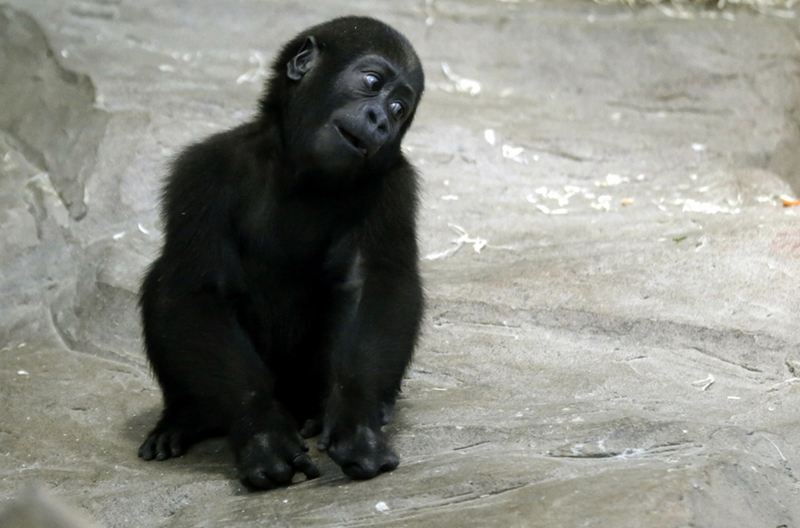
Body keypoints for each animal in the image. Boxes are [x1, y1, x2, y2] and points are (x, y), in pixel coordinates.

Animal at [138, 16, 424, 488]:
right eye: (371, 83)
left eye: (400, 109)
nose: (381, 121)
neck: (299, 167)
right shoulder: (202, 169)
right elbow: (200, 290)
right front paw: (261, 430)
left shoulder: (392, 182)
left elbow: (371, 284)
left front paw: (356, 419)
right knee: (163, 281)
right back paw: (186, 416)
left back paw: (328, 411)